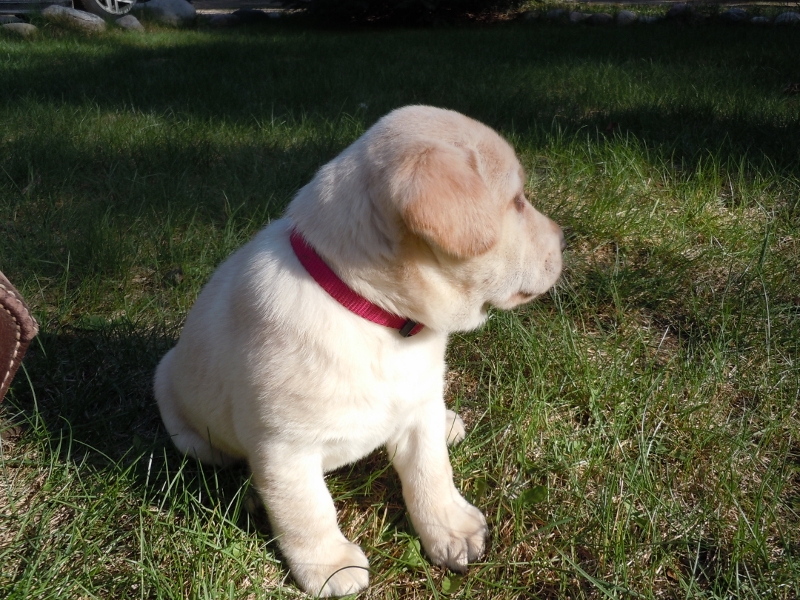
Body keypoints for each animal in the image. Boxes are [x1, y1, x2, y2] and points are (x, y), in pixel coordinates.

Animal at [153, 105, 564, 596]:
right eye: (517, 201)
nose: (563, 237)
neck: (375, 314)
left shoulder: (418, 405)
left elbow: (431, 472)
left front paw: (449, 528)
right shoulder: (284, 449)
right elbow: (308, 512)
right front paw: (329, 566)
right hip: (187, 422)